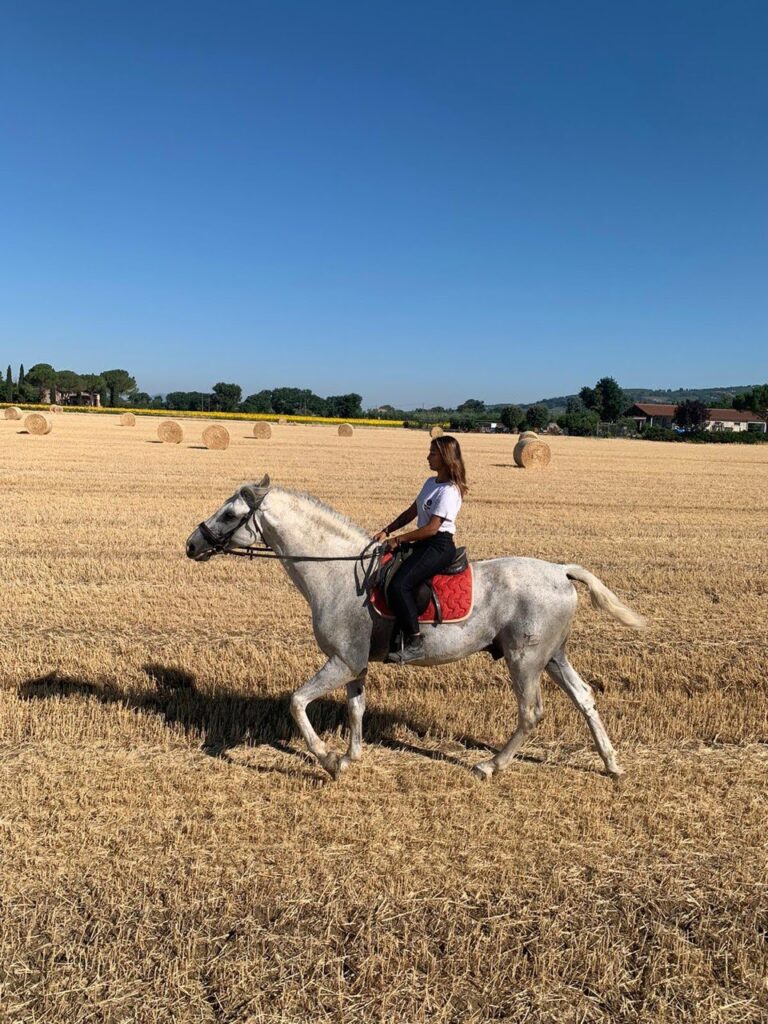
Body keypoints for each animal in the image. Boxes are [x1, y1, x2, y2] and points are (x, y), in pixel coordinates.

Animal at [185, 475, 643, 778]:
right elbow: (355, 708)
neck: (336, 572)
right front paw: (350, 757)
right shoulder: (355, 664)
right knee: (584, 698)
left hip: (525, 659)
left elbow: (296, 702)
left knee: (531, 712)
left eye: (230, 512)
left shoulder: (341, 661)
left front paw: (329, 761)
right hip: (552, 656)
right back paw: (612, 765)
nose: (192, 543)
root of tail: (560, 571)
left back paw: (489, 765)